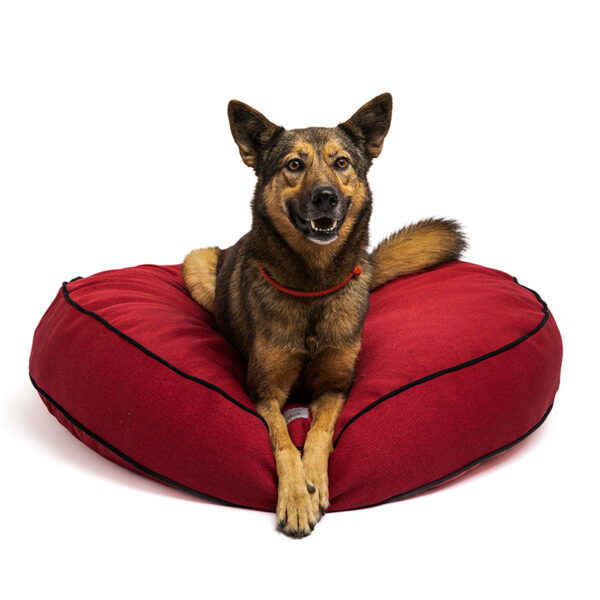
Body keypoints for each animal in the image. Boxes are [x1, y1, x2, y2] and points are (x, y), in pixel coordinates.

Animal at [183, 93, 465, 536]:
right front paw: (298, 498)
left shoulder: (335, 387)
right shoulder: (265, 392)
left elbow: (317, 432)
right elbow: (283, 440)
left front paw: (314, 483)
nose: (325, 197)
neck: (313, 287)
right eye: (294, 164)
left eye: (341, 162)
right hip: (196, 263)